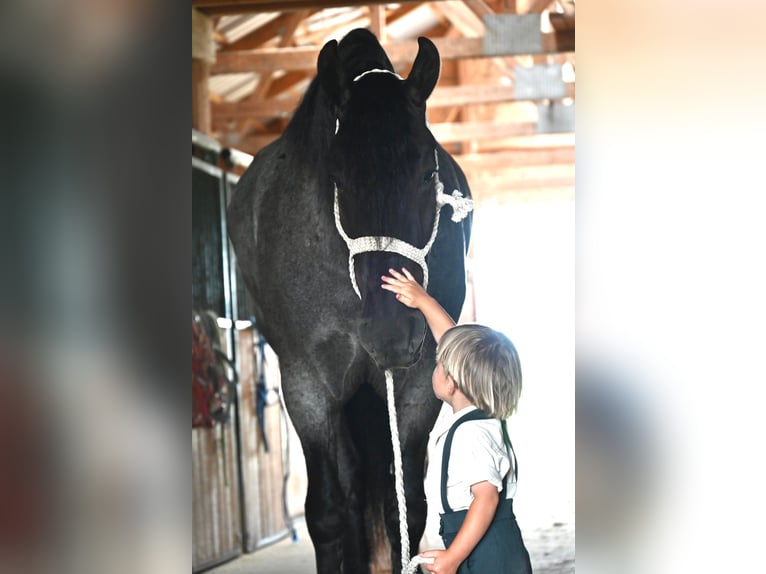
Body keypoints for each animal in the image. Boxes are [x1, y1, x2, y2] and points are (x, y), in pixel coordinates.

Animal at [225, 28, 472, 574]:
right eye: (337, 178)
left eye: (428, 174)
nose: (391, 335)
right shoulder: (307, 386)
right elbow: (327, 512)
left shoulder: (417, 385)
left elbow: (408, 508)